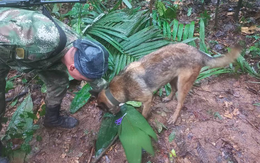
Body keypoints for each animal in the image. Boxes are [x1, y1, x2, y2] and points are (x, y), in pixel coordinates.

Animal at [96, 42, 241, 124]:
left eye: (105, 110)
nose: (114, 115)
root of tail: (198, 52)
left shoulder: (147, 99)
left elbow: (144, 113)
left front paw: (143, 120)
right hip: (171, 77)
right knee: (173, 89)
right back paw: (168, 98)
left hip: (183, 85)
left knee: (180, 103)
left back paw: (174, 117)